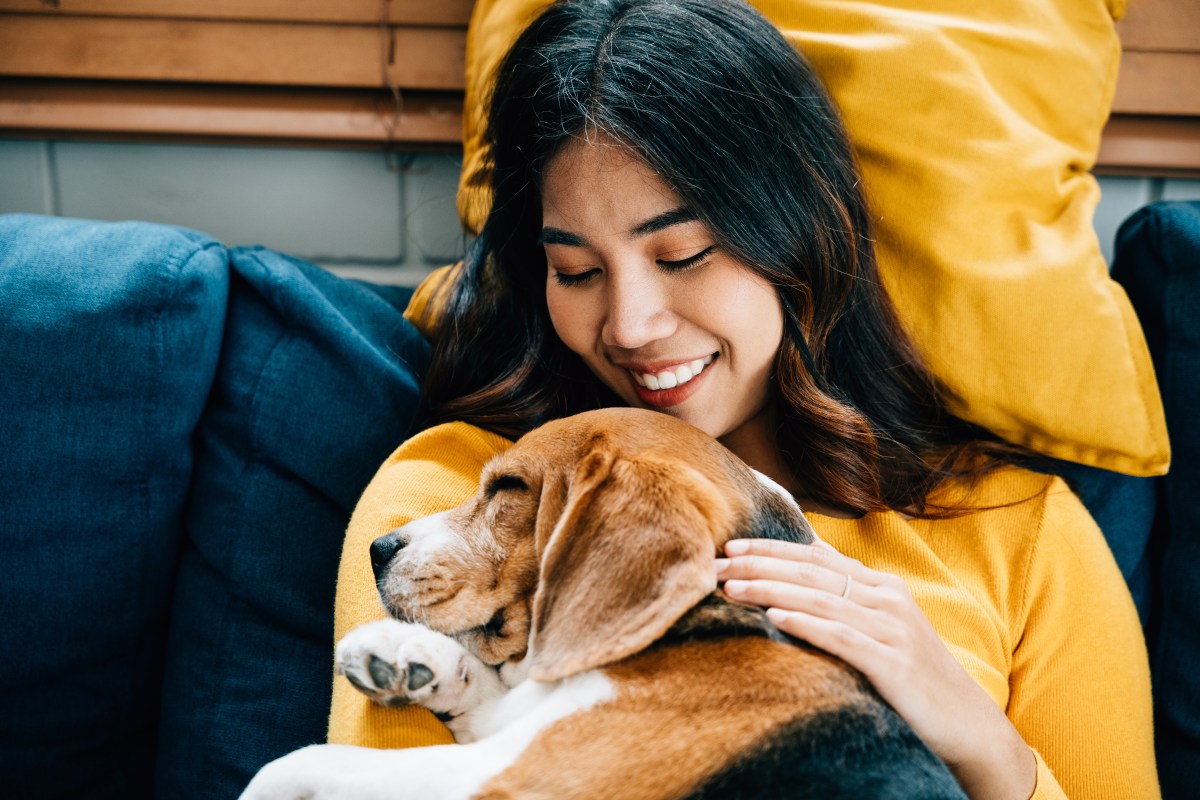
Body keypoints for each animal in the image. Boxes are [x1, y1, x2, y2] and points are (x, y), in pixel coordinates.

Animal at [241, 410, 964, 796]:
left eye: (507, 487)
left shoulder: (512, 778)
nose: (377, 548)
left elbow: (306, 761)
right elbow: (494, 689)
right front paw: (406, 657)